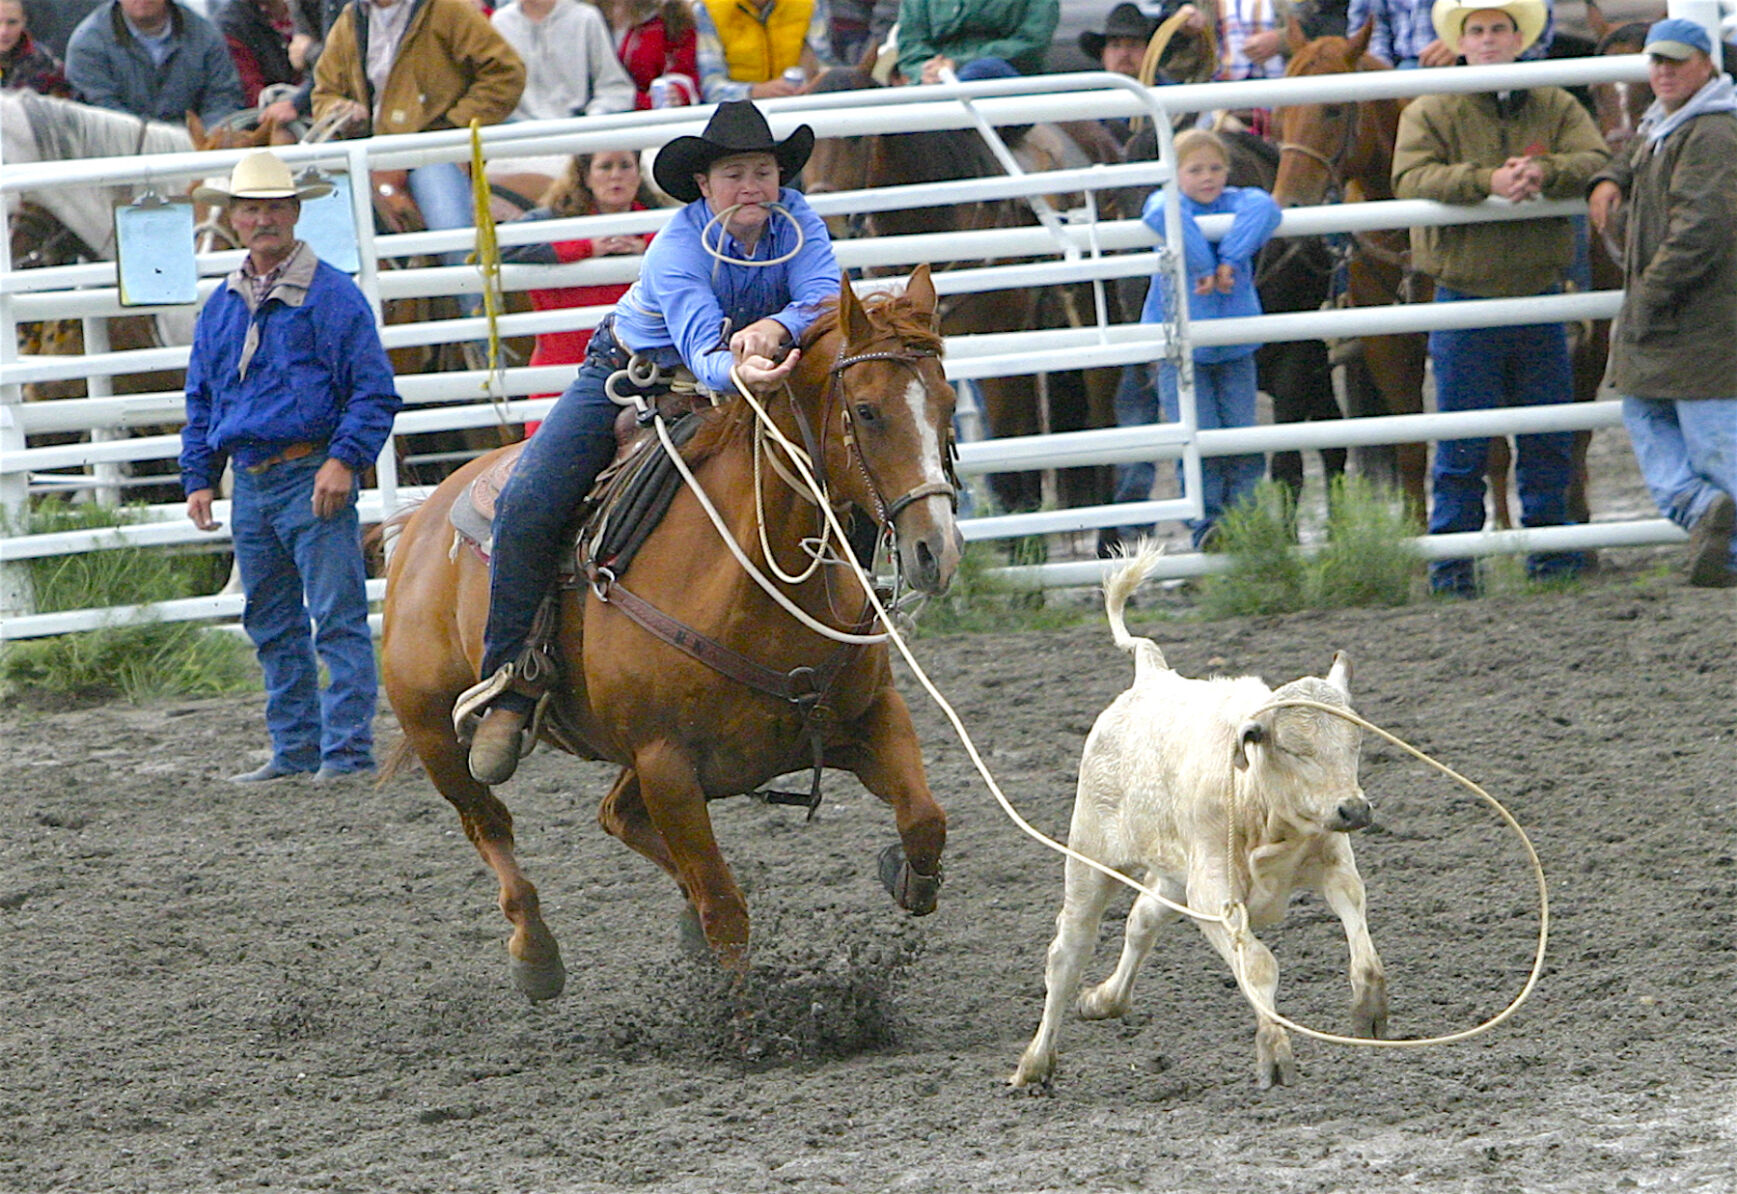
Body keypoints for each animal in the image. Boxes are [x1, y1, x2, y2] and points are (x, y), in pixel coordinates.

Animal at [1010, 544, 1388, 1090]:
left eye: (1355, 741)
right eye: (1296, 749)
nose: (1354, 808)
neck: (1259, 804)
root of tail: (1150, 671)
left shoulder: (1335, 863)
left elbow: (1360, 933)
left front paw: (1370, 1009)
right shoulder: (1214, 892)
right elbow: (1258, 965)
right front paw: (1274, 1052)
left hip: (1172, 875)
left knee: (1141, 919)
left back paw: (1104, 999)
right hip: (1090, 859)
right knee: (1068, 951)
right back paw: (1036, 1062)